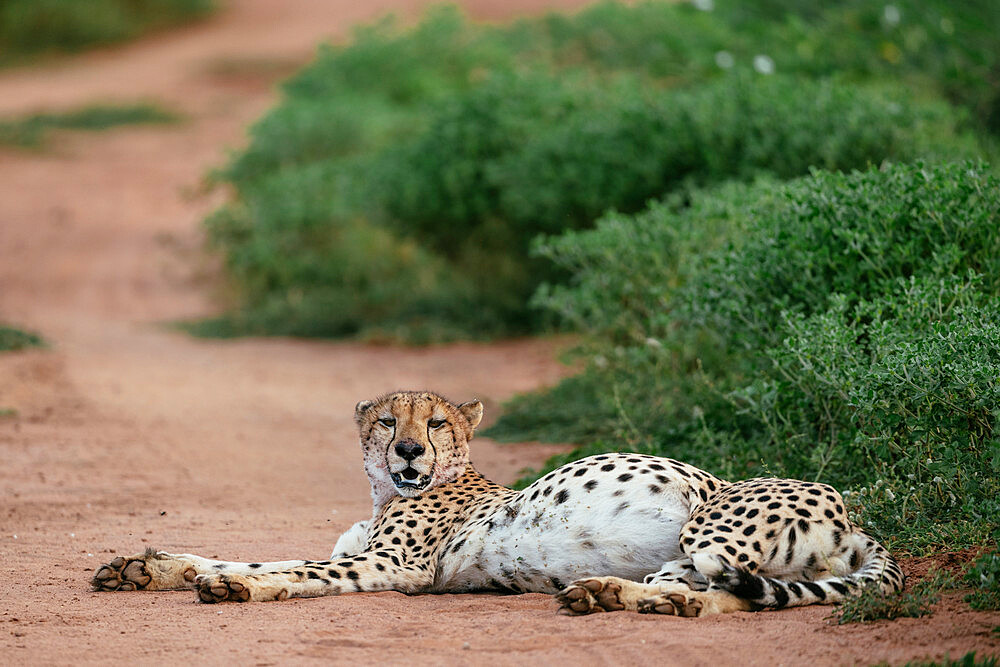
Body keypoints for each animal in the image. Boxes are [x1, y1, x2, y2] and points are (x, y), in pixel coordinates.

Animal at [94, 388, 908, 620]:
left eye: (436, 422)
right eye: (387, 420)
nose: (408, 451)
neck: (385, 493)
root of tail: (855, 516)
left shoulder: (393, 566)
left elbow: (288, 570)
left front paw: (235, 585)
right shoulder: (365, 549)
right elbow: (243, 552)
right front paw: (147, 566)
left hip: (708, 523)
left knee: (726, 588)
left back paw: (623, 596)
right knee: (721, 592)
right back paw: (610, 594)